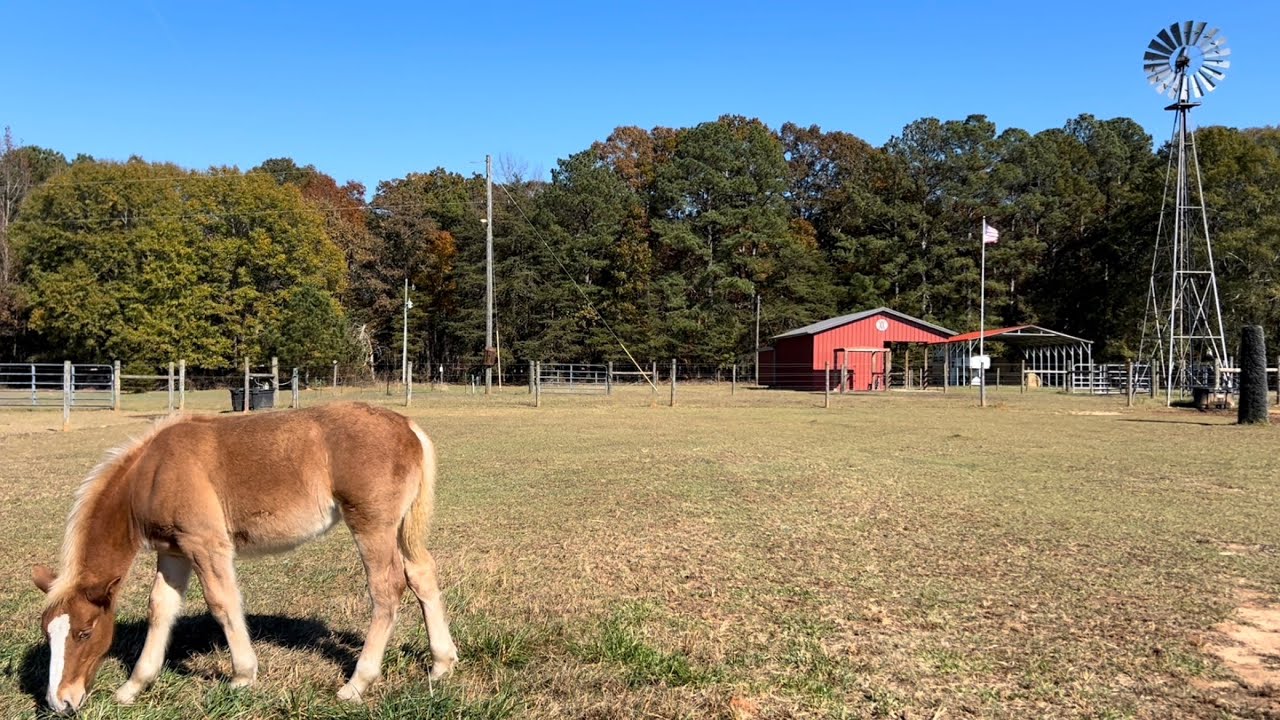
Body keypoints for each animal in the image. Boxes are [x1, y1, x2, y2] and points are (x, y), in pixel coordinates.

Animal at [32, 402, 458, 714]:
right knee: (422, 574)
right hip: (401, 527)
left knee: (387, 590)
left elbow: (222, 603)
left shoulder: (205, 544)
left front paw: (242, 676)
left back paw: (357, 684)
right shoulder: (173, 552)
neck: (153, 473)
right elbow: (161, 610)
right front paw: (132, 686)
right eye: (47, 632)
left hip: (372, 526)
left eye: (85, 632)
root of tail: (408, 427)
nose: (60, 702)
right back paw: (441, 663)